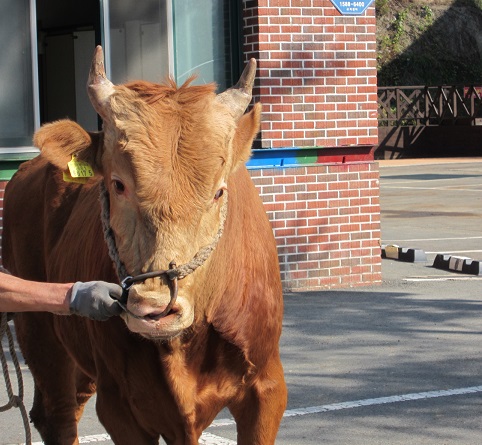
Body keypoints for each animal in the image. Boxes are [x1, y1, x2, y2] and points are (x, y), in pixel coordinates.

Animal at [2, 46, 286, 442]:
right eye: (118, 184)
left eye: (218, 191)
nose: (155, 307)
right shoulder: (119, 407)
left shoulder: (267, 388)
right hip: (39, 333)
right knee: (58, 416)